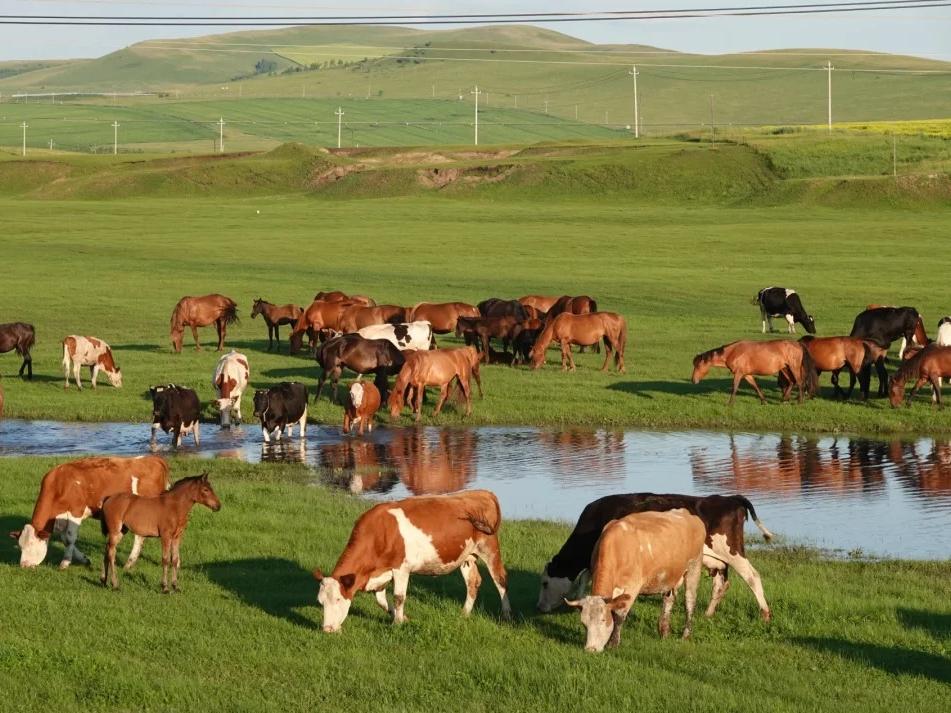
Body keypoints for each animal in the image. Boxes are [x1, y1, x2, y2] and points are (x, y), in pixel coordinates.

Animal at [10, 455, 169, 569]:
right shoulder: (60, 518)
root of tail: (154, 459)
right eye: (20, 545)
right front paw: (84, 559)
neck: (60, 484)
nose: (23, 565)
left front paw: (65, 563)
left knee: (139, 536)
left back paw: (129, 563)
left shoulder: (76, 511)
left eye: (31, 544)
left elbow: (69, 538)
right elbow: (65, 539)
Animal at [313, 490, 512, 633]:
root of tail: (482, 492)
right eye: (321, 602)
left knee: (500, 580)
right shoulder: (380, 574)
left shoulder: (401, 568)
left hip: (489, 548)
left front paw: (397, 623)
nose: (327, 629)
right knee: (473, 581)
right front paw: (403, 618)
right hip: (467, 556)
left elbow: (398, 597)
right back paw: (464, 614)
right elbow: (381, 601)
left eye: (338, 599)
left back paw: (507, 615)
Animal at [537, 493, 773, 621]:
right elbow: (585, 578)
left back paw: (765, 614)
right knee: (720, 584)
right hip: (716, 560)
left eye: (545, 583)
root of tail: (730, 499)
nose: (538, 607)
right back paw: (707, 614)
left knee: (752, 577)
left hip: (732, 552)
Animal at [565, 509, 706, 652]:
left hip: (694, 566)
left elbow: (619, 616)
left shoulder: (632, 586)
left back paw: (685, 635)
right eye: (584, 623)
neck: (617, 547)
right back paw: (664, 632)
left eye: (603, 620)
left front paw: (613, 644)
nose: (590, 649)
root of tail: (686, 513)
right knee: (668, 599)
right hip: (670, 576)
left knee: (689, 600)